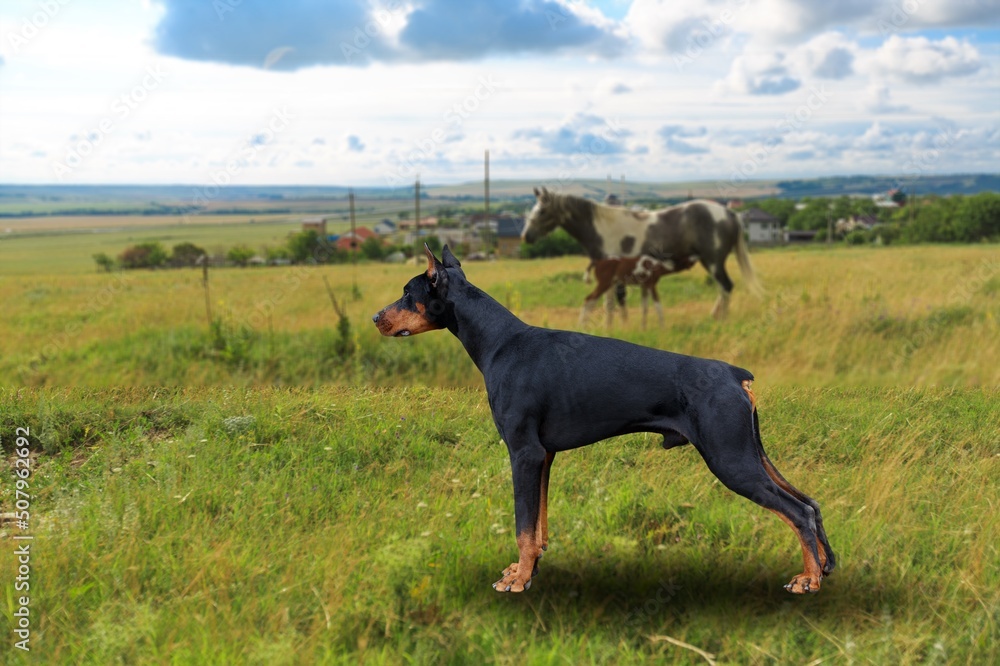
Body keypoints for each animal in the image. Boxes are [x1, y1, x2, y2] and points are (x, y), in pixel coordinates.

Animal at [520, 187, 760, 320]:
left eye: (542, 211)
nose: (526, 236)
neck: (602, 228)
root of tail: (729, 213)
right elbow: (616, 303)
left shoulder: (612, 276)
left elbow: (611, 304)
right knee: (723, 288)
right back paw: (714, 317)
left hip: (713, 261)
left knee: (726, 286)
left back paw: (722, 320)